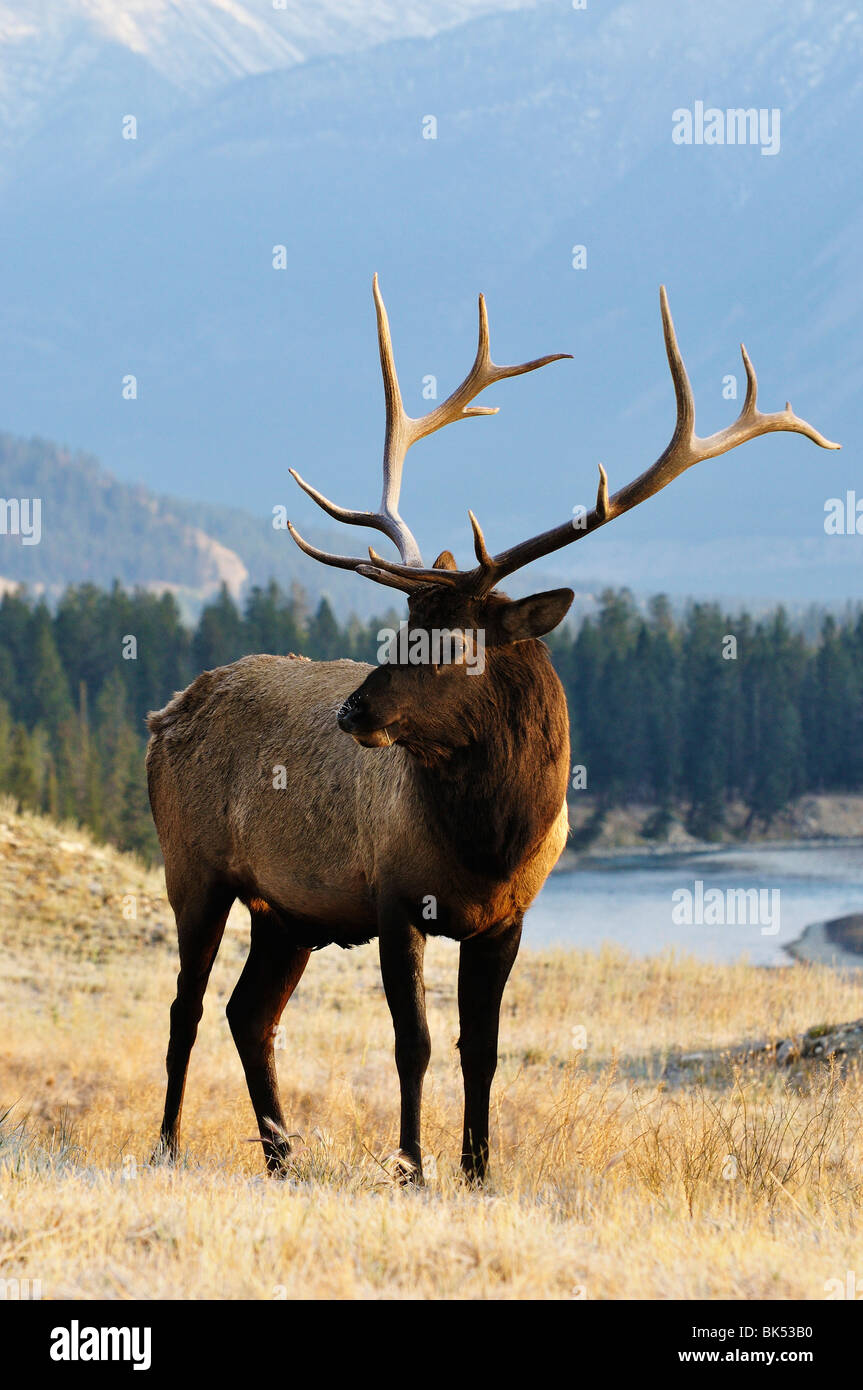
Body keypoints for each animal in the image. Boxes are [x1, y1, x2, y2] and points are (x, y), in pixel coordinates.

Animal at [144, 279, 839, 1184]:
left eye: (454, 641)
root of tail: (163, 714)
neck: (488, 841)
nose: (353, 712)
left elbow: (483, 1049)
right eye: (404, 626)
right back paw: (167, 1144)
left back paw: (283, 1158)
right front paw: (411, 1166)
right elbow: (412, 1044)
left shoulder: (509, 917)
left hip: (286, 910)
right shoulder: (393, 898)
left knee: (247, 1012)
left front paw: (479, 1171)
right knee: (186, 1007)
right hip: (193, 866)